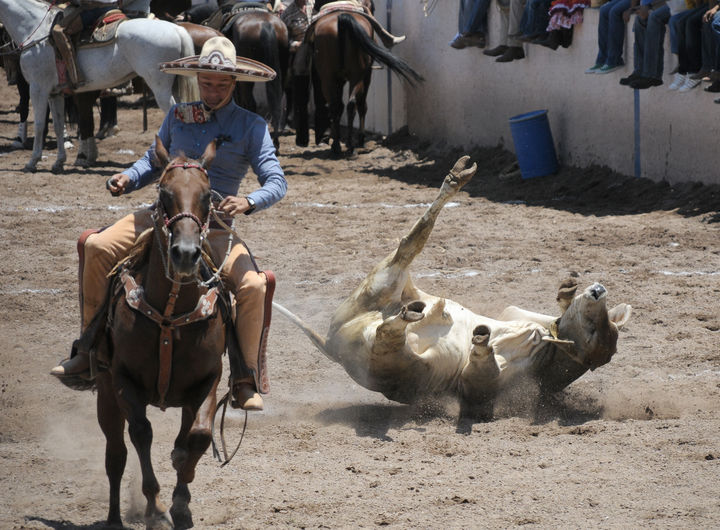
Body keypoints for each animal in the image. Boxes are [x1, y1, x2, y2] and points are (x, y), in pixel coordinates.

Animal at [0, 0, 196, 173]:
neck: (35, 31)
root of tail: (176, 29)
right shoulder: (55, 93)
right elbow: (58, 125)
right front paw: (59, 162)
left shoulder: (37, 88)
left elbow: (40, 124)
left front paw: (32, 161)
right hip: (175, 85)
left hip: (160, 88)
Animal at [93, 137, 226, 529]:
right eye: (165, 194)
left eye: (208, 195)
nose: (185, 254)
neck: (169, 316)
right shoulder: (122, 380)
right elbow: (141, 433)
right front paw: (155, 505)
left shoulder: (209, 379)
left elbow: (197, 438)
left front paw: (181, 502)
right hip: (105, 392)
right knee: (115, 455)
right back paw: (115, 518)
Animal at [273, 156, 632, 422]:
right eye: (595, 322)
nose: (598, 290)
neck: (548, 353)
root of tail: (332, 343)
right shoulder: (516, 314)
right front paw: (566, 291)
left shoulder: (478, 392)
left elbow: (480, 375)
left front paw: (483, 340)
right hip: (387, 285)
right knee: (411, 247)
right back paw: (458, 177)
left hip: (389, 325)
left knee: (395, 304)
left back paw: (410, 314)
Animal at [306, 5, 422, 155]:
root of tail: (341, 18)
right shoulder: (367, 75)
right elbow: (362, 105)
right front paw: (361, 138)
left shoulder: (338, 80)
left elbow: (339, 105)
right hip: (358, 76)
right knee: (354, 104)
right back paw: (351, 145)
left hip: (328, 78)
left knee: (336, 106)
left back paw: (337, 146)